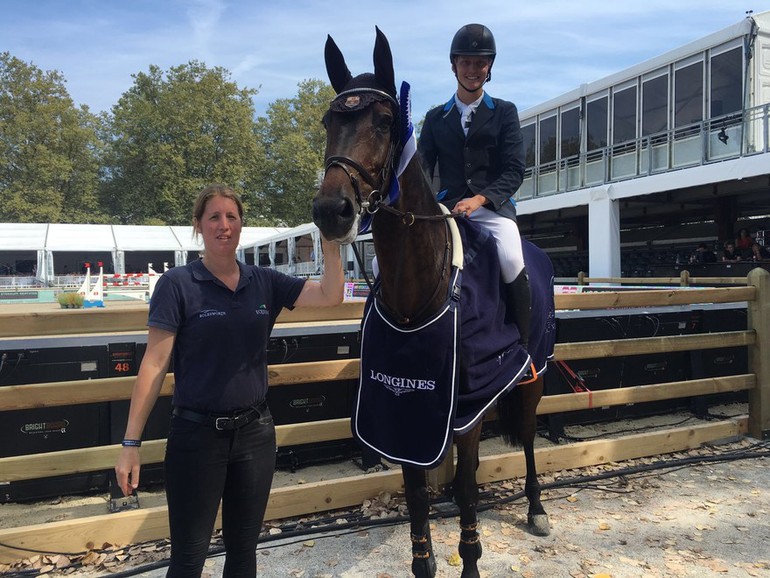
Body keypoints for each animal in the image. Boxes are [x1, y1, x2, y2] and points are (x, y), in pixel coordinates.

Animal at [310, 28, 552, 576]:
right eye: (329, 122)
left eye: (384, 121)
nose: (332, 211)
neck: (416, 294)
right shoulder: (406, 408)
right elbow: (417, 495)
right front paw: (426, 559)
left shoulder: (465, 409)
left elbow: (466, 488)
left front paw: (470, 560)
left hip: (532, 377)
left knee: (528, 438)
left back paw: (536, 508)